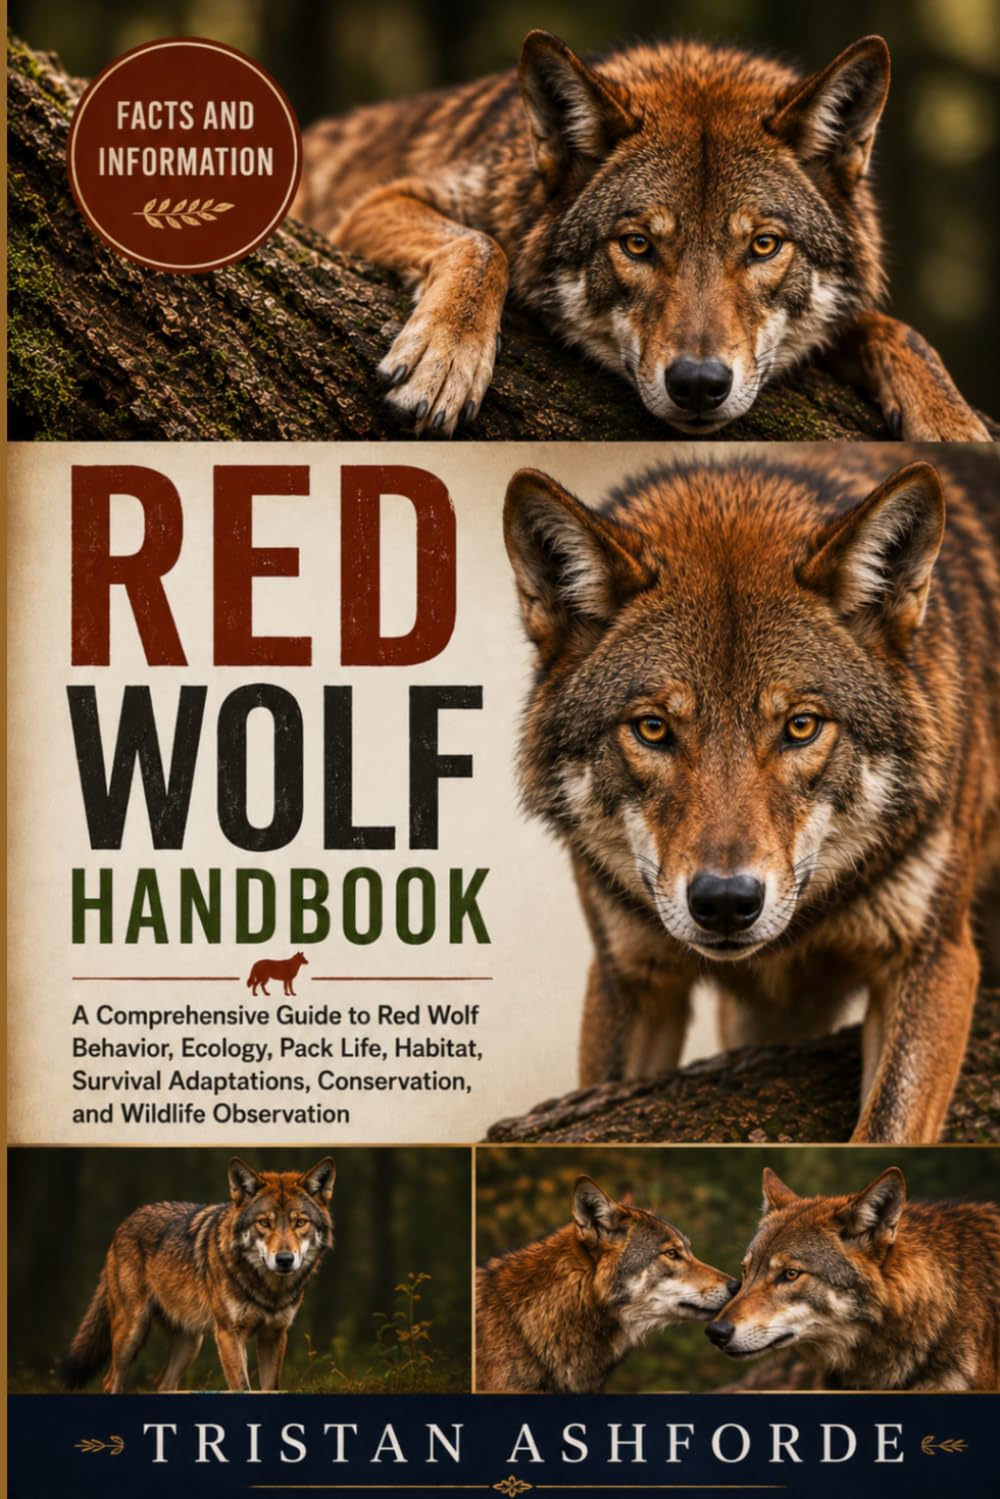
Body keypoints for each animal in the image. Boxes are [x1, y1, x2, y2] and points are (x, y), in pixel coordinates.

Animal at [60, 1156, 335, 1392]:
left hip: (190, 1343)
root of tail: (126, 1221)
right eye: (264, 1223)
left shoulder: (275, 1335)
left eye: (300, 1222)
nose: (285, 1260)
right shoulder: (228, 1334)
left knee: (162, 1384)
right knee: (111, 1380)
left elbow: (270, 1388)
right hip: (132, 1331)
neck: (269, 1290)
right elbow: (242, 1386)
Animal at [292, 30, 987, 440]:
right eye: (637, 245)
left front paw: (953, 424)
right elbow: (481, 246)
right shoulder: (379, 204)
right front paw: (444, 362)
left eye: (764, 246)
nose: (699, 384)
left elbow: (895, 329)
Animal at [503, 446, 1000, 1142]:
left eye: (801, 726)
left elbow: (887, 1126)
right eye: (653, 729)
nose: (725, 902)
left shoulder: (934, 959)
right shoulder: (629, 980)